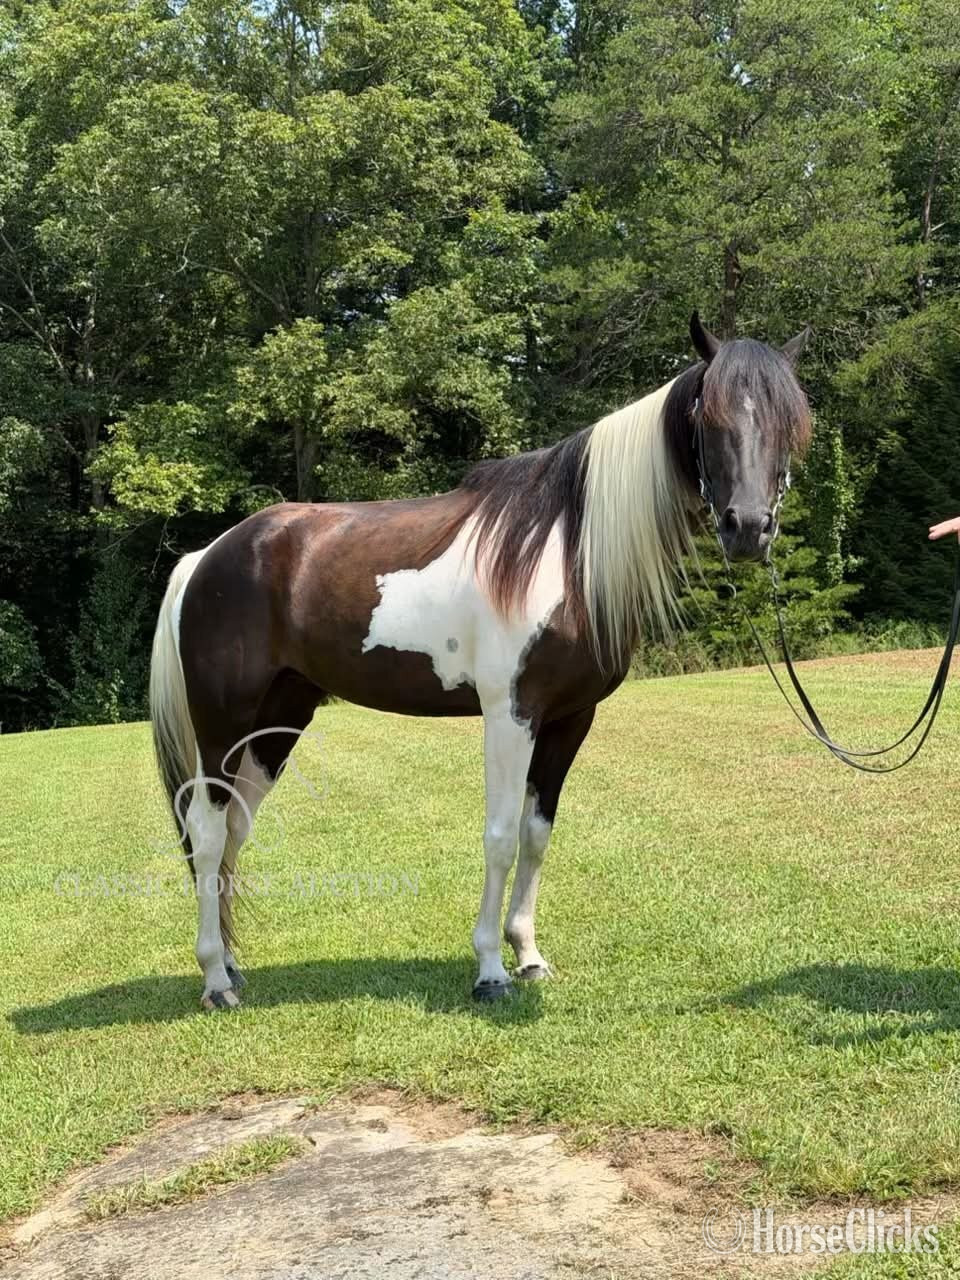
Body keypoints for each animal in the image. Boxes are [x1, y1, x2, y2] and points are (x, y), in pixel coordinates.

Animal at [149, 313, 812, 1010]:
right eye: (708, 418)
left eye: (791, 424)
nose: (748, 528)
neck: (565, 550)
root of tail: (207, 557)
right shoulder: (509, 715)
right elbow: (498, 836)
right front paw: (490, 969)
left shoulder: (569, 719)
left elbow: (535, 834)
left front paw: (529, 956)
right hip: (222, 723)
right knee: (207, 830)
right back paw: (215, 981)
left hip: (276, 724)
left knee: (233, 829)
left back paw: (230, 968)